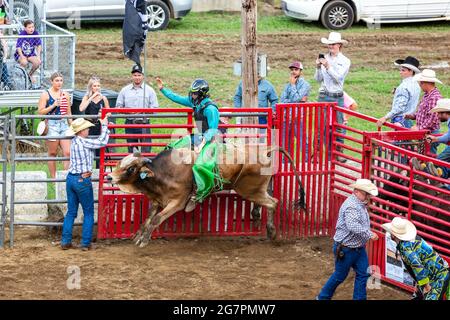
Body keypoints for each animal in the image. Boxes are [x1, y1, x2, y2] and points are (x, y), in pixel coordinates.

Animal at [107, 144, 306, 248]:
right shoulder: (157, 200)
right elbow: (147, 219)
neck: (163, 173)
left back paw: (272, 232)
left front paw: (144, 241)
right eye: (119, 162)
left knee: (273, 202)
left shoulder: (177, 202)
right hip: (257, 189)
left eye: (130, 168)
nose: (109, 177)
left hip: (249, 189)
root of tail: (264, 151)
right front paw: (137, 236)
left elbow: (156, 220)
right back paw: (258, 217)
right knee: (268, 201)